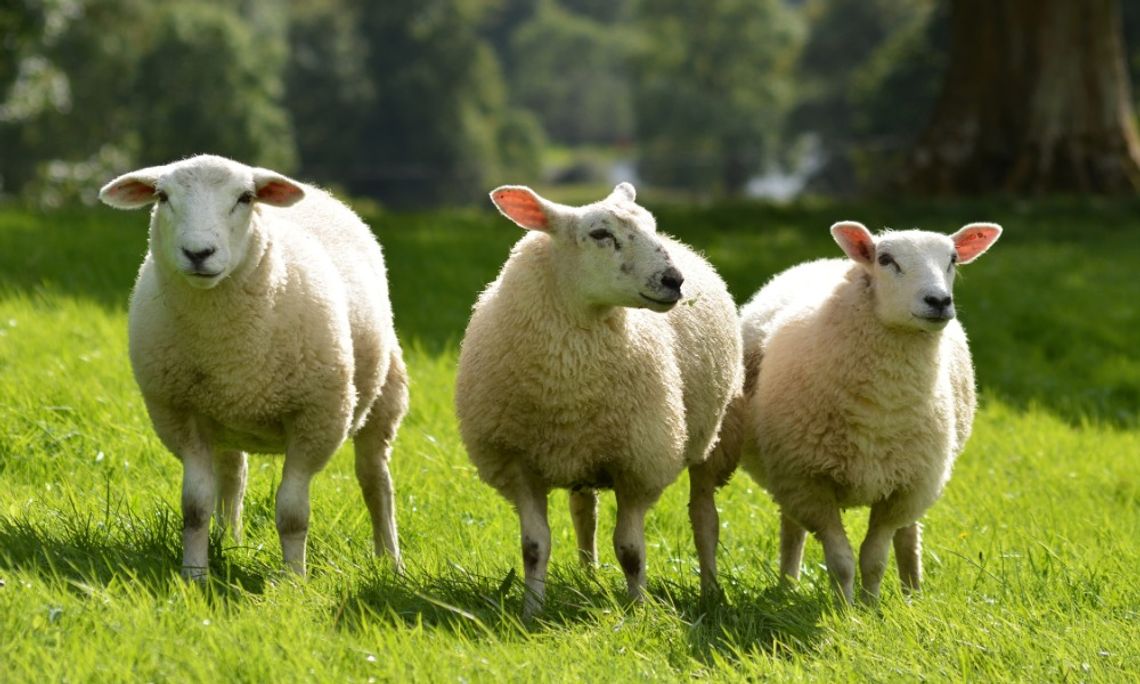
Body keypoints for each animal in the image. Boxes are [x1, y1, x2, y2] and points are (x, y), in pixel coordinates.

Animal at [98, 154, 408, 580]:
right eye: (162, 196)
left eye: (245, 198)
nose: (199, 252)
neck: (226, 345)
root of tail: (318, 192)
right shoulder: (180, 414)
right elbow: (195, 506)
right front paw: (194, 575)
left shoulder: (317, 419)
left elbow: (292, 513)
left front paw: (295, 582)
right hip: (223, 418)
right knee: (233, 476)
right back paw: (229, 541)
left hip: (384, 395)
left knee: (375, 481)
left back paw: (390, 561)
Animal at [454, 183, 742, 616]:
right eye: (600, 234)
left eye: (651, 226)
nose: (673, 280)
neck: (569, 381)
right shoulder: (518, 463)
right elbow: (534, 547)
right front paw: (531, 611)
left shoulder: (638, 464)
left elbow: (630, 550)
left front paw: (638, 609)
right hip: (582, 452)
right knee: (583, 512)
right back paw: (588, 577)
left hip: (711, 437)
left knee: (704, 518)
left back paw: (710, 590)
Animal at [736, 220, 1001, 604]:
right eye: (886, 259)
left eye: (952, 259)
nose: (938, 301)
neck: (881, 410)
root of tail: (831, 259)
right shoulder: (809, 482)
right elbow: (841, 559)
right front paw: (845, 608)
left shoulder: (905, 489)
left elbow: (874, 557)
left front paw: (871, 606)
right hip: (787, 475)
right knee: (791, 528)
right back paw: (787, 585)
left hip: (919, 474)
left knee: (909, 533)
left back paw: (912, 592)